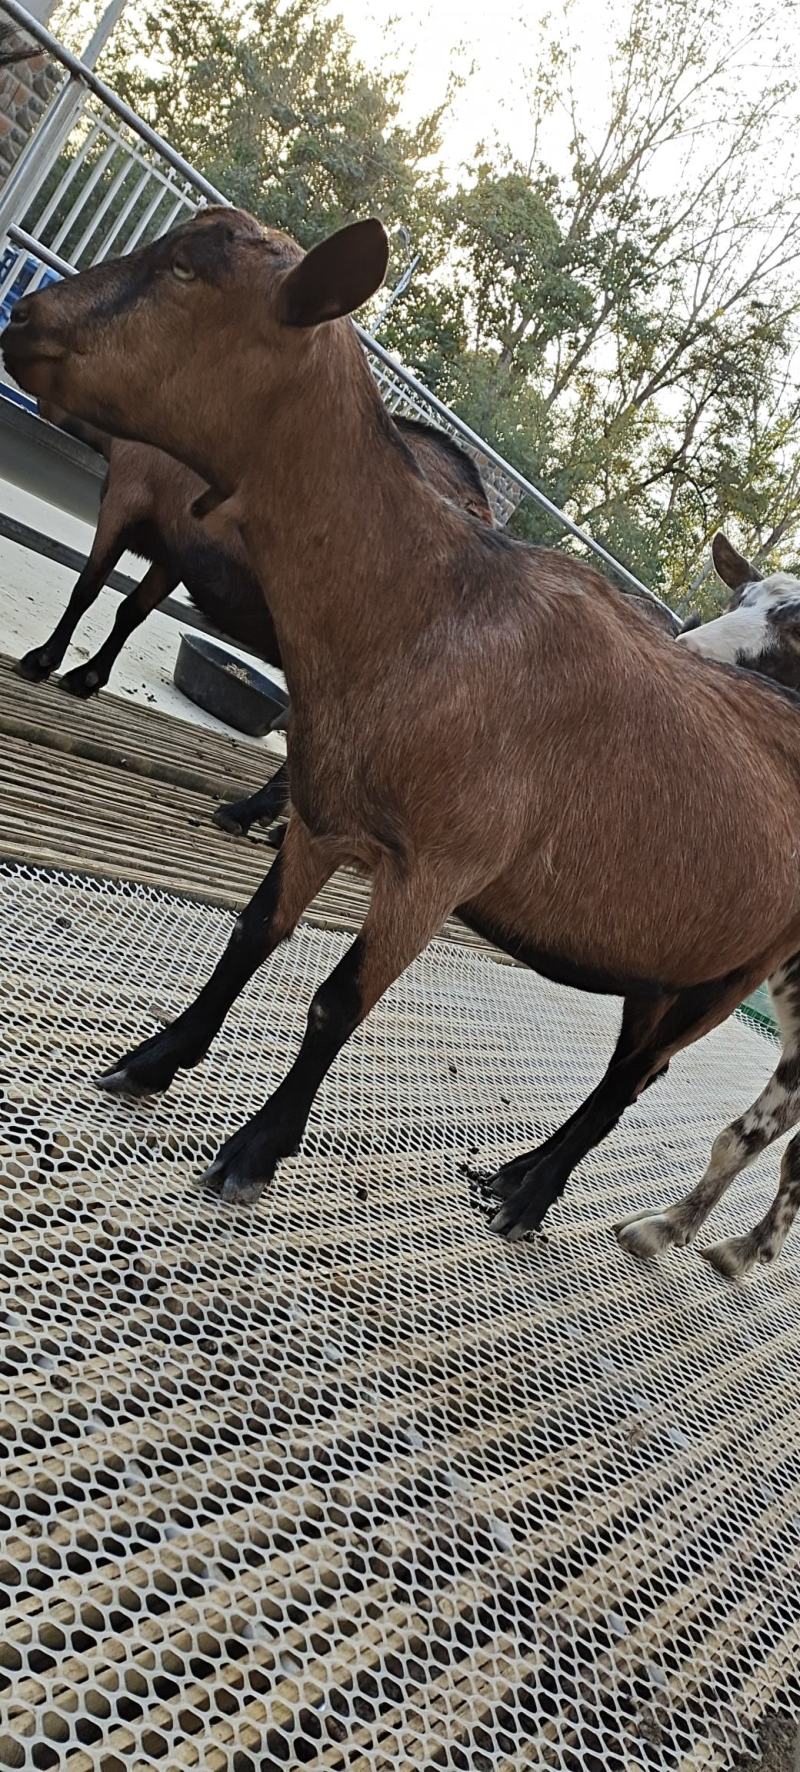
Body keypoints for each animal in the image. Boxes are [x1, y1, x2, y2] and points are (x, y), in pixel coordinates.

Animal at [6, 206, 800, 1267]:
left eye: (183, 270)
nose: (21, 320)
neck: (428, 612)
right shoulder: (324, 813)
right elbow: (254, 934)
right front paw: (154, 1058)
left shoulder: (437, 869)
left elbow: (338, 1001)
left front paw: (254, 1153)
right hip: (672, 951)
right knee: (629, 1067)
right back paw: (515, 1174)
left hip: (737, 970)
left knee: (635, 1079)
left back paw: (533, 1199)